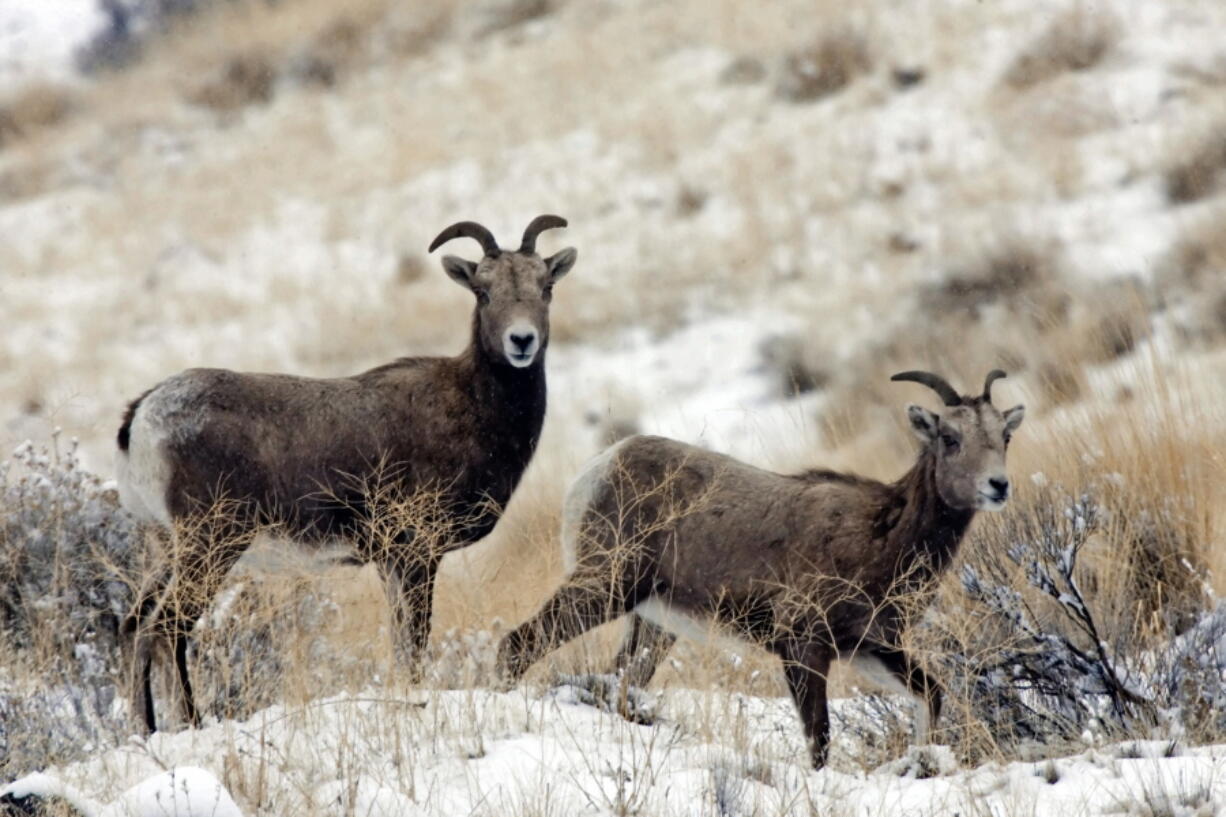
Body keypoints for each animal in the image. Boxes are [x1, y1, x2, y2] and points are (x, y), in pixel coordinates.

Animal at [117, 213, 576, 726]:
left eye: (546, 287)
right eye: (483, 291)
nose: (522, 341)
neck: (474, 409)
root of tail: (141, 417)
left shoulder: (394, 563)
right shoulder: (416, 555)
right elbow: (414, 643)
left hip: (163, 550)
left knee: (134, 627)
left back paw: (145, 729)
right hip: (210, 546)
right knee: (167, 628)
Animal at [497, 368, 1024, 765]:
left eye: (1005, 436)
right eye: (950, 438)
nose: (999, 486)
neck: (882, 536)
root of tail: (598, 469)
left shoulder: (870, 648)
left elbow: (930, 696)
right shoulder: (803, 645)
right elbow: (819, 738)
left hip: (651, 623)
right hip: (605, 587)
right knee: (519, 644)